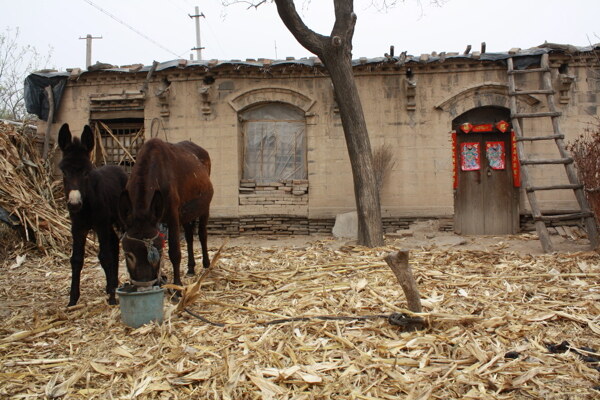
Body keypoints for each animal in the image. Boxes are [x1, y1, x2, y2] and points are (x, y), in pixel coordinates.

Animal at [58, 123, 127, 304]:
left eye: (86, 172)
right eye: (64, 172)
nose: (74, 204)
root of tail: (117, 167)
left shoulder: (100, 225)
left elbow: (105, 256)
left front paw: (112, 299)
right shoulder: (78, 228)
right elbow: (76, 259)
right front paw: (72, 301)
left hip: (121, 219)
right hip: (108, 223)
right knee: (115, 243)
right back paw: (113, 283)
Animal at [118, 138, 213, 288]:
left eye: (157, 251)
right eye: (128, 255)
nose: (144, 284)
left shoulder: (173, 216)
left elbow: (174, 252)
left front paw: (177, 286)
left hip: (204, 207)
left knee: (202, 234)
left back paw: (206, 265)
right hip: (187, 213)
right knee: (189, 237)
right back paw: (191, 268)